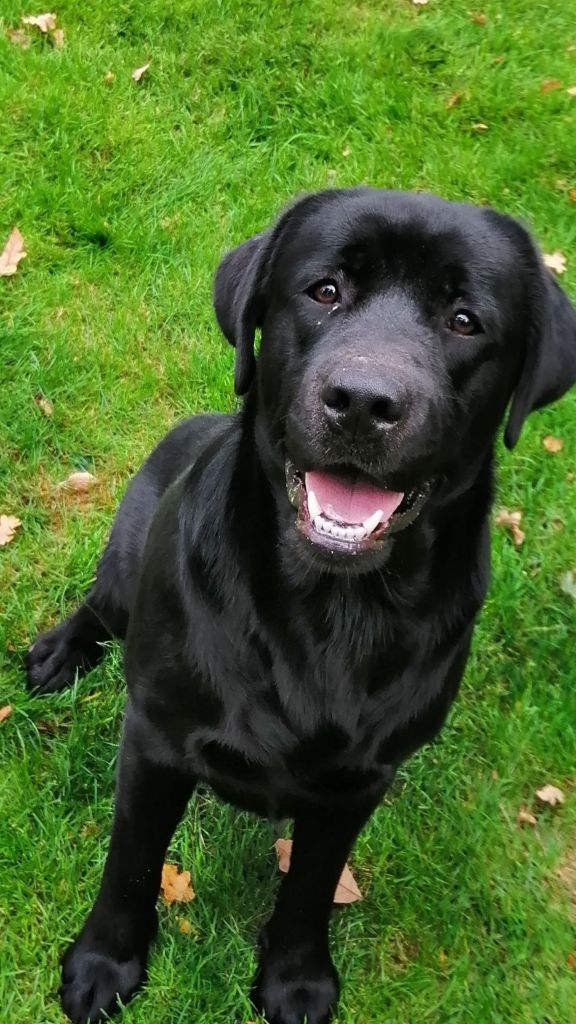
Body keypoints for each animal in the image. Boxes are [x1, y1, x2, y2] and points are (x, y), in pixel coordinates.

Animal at [26, 190, 573, 1024]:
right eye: (324, 291)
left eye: (465, 320)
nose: (363, 402)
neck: (332, 608)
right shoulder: (155, 737)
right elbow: (132, 861)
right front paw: (102, 965)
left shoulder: (360, 782)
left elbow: (313, 883)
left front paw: (296, 979)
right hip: (124, 567)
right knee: (98, 606)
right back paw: (58, 653)